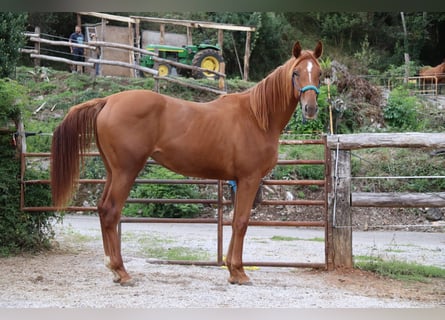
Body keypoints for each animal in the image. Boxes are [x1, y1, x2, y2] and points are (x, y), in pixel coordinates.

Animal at [50, 40, 322, 284]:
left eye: (319, 73)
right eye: (296, 72)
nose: (310, 109)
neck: (256, 117)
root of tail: (108, 101)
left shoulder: (238, 181)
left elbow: (234, 221)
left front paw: (232, 271)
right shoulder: (249, 179)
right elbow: (242, 222)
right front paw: (240, 272)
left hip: (112, 170)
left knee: (102, 208)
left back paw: (114, 268)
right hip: (126, 171)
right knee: (110, 211)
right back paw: (121, 272)